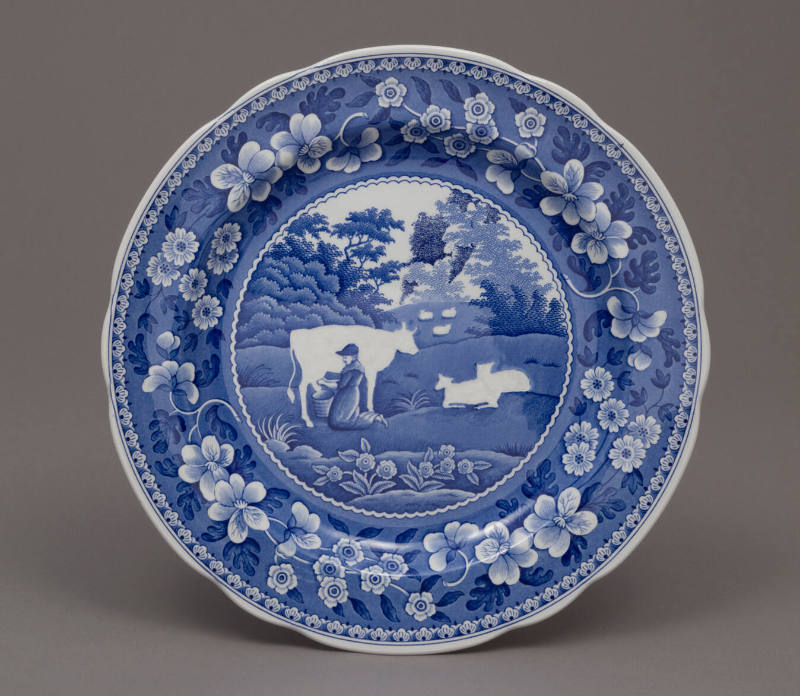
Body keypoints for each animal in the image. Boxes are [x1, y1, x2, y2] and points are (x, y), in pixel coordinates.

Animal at [287, 323, 419, 427]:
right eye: (406, 340)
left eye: (412, 338)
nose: (416, 351)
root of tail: (298, 333)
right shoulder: (371, 369)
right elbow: (371, 387)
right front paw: (371, 408)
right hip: (312, 368)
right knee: (302, 386)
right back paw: (307, 420)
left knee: (312, 382)